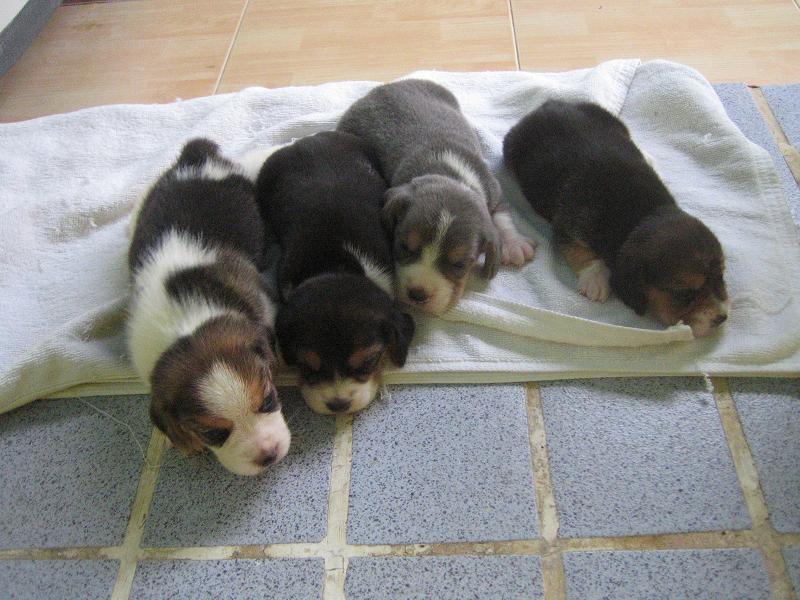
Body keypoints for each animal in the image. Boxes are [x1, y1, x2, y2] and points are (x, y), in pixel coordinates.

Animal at [337, 79, 536, 315]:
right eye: (404, 246)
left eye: (460, 264)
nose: (417, 295)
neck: (448, 175)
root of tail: (385, 86)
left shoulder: (494, 190)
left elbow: (502, 216)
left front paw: (515, 245)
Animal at [503, 99, 729, 337]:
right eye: (684, 293)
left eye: (721, 276)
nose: (722, 318)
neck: (641, 214)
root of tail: (549, 104)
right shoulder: (569, 225)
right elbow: (581, 251)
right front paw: (595, 278)